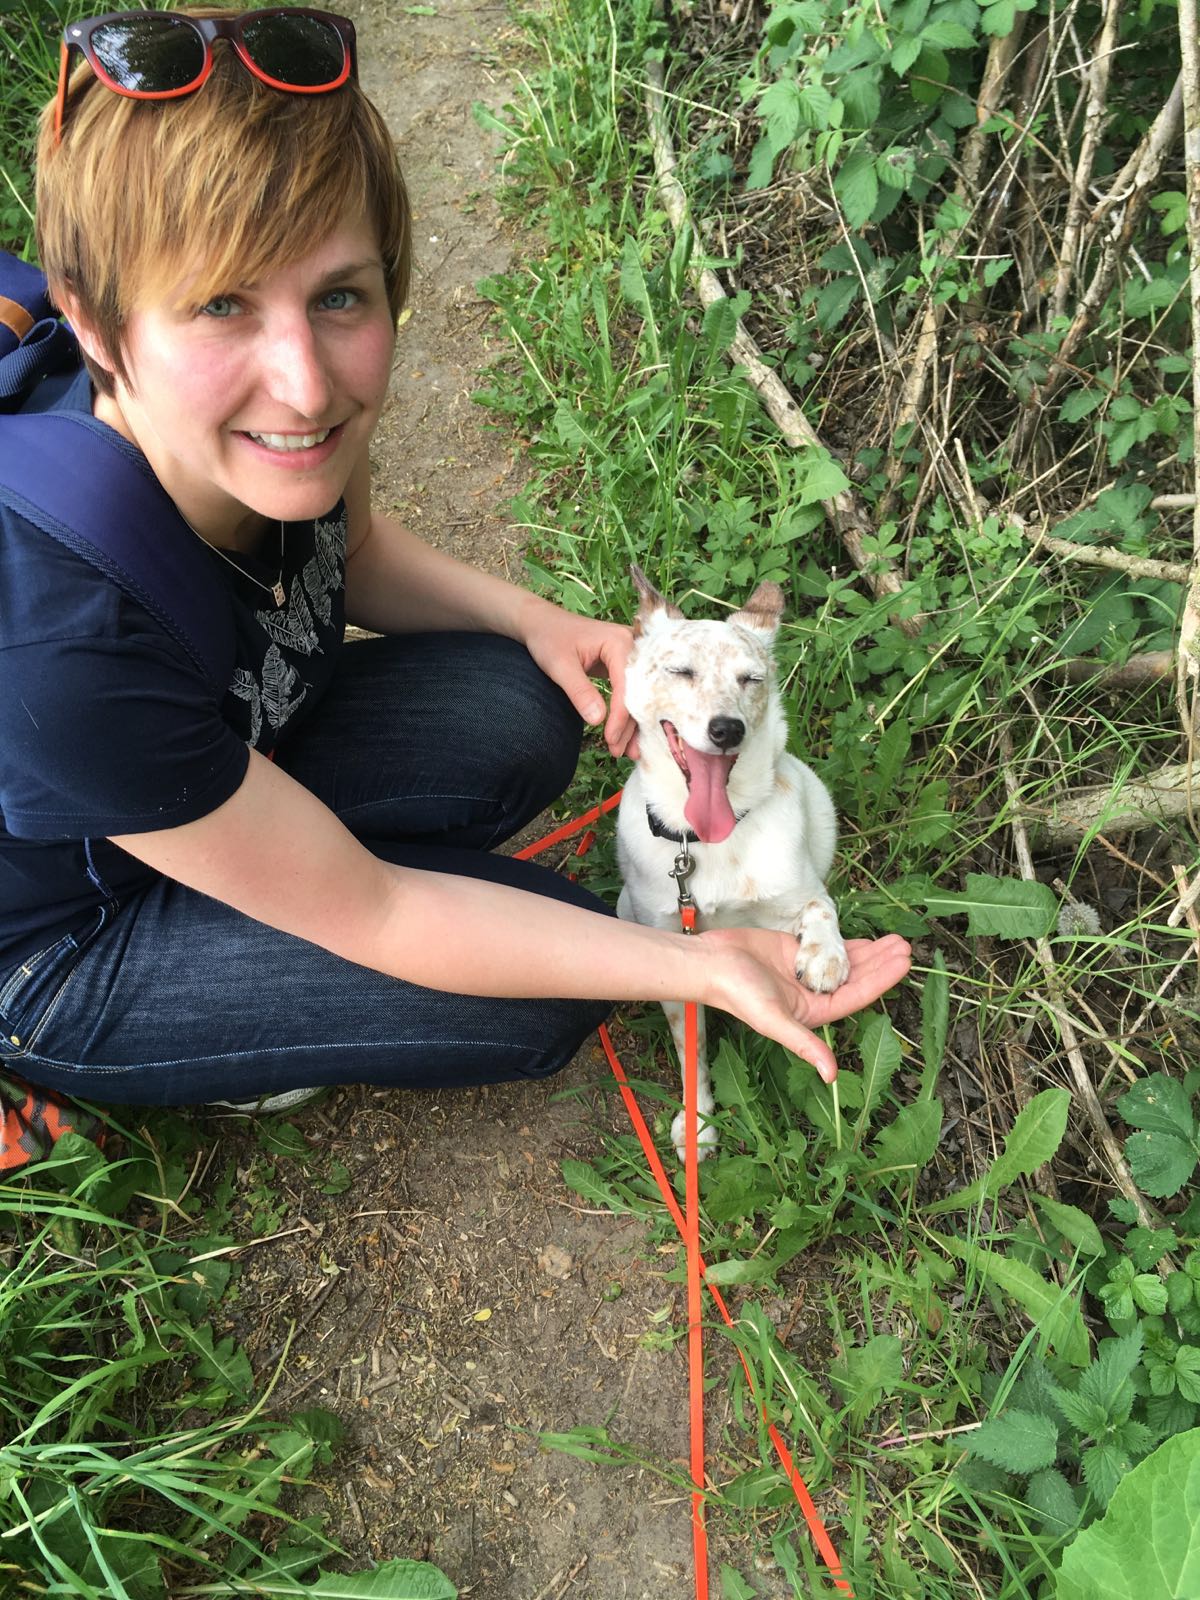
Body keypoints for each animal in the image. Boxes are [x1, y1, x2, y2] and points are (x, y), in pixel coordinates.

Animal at [620, 569, 857, 1158]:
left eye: (751, 679)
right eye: (681, 671)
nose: (728, 729)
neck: (707, 843)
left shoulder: (799, 892)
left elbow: (821, 908)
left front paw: (824, 955)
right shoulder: (678, 957)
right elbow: (694, 1055)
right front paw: (699, 1122)